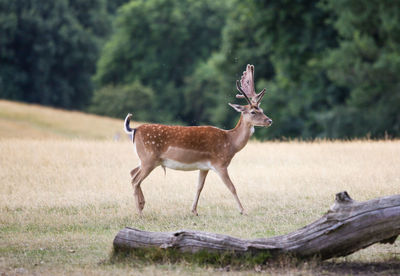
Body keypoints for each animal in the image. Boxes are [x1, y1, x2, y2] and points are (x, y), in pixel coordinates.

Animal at [125, 64, 274, 216]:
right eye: (253, 112)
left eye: (262, 109)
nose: (269, 120)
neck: (230, 143)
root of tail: (134, 129)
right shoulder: (220, 164)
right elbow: (232, 187)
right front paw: (243, 211)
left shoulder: (204, 167)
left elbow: (199, 187)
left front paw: (194, 211)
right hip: (149, 158)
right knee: (135, 180)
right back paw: (140, 212)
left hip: (145, 159)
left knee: (132, 172)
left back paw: (142, 204)